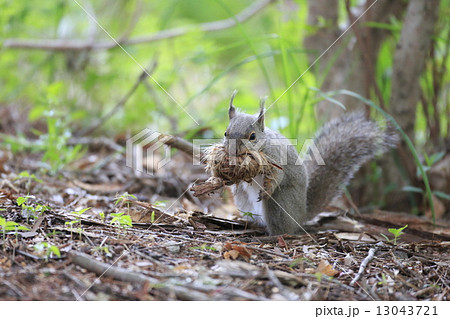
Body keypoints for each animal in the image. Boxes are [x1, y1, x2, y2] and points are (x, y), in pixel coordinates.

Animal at [223, 92, 400, 235]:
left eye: (252, 136)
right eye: (226, 133)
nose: (232, 151)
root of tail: (302, 215)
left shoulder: (276, 157)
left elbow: (278, 175)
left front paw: (268, 189)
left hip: (280, 205)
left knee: (283, 229)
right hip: (244, 202)